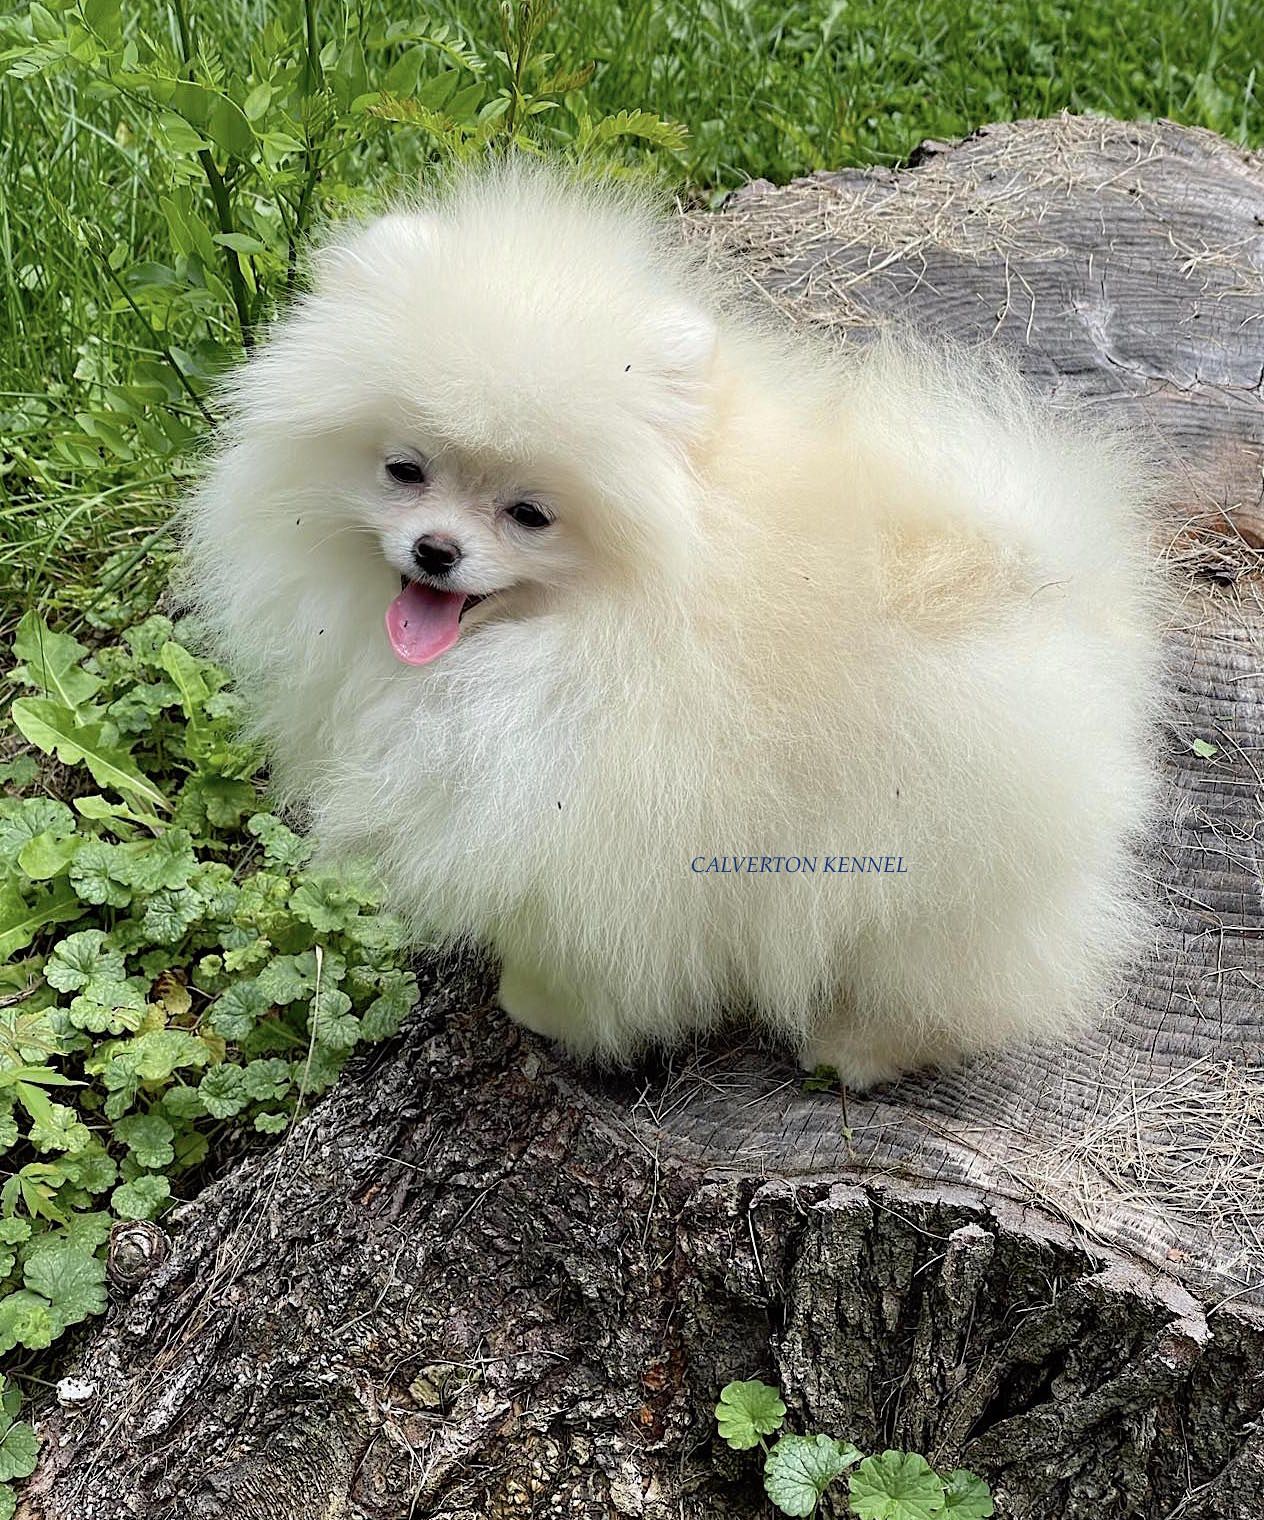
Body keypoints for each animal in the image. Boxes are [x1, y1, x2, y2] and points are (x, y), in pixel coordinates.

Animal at [181, 158, 1166, 1086]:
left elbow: (585, 945)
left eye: (530, 515)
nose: (435, 550)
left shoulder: (609, 818)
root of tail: (1047, 575)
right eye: (404, 470)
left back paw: (857, 1047)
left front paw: (539, 1007)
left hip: (924, 858)